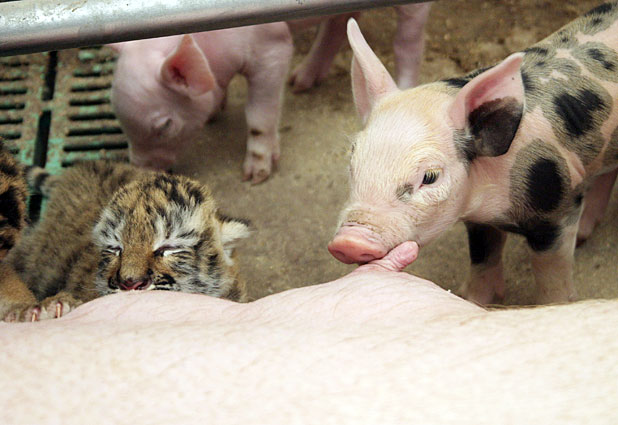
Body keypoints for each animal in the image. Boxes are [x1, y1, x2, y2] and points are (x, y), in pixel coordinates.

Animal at [110, 24, 294, 184]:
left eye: (165, 125)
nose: (138, 169)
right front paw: (214, 114)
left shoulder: (273, 47)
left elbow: (259, 116)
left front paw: (254, 177)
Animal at [329, 4, 618, 305]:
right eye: (351, 161)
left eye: (430, 177)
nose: (349, 241)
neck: (493, 202)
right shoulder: (479, 222)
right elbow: (483, 258)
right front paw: (474, 299)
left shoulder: (559, 209)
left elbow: (552, 278)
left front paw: (557, 303)